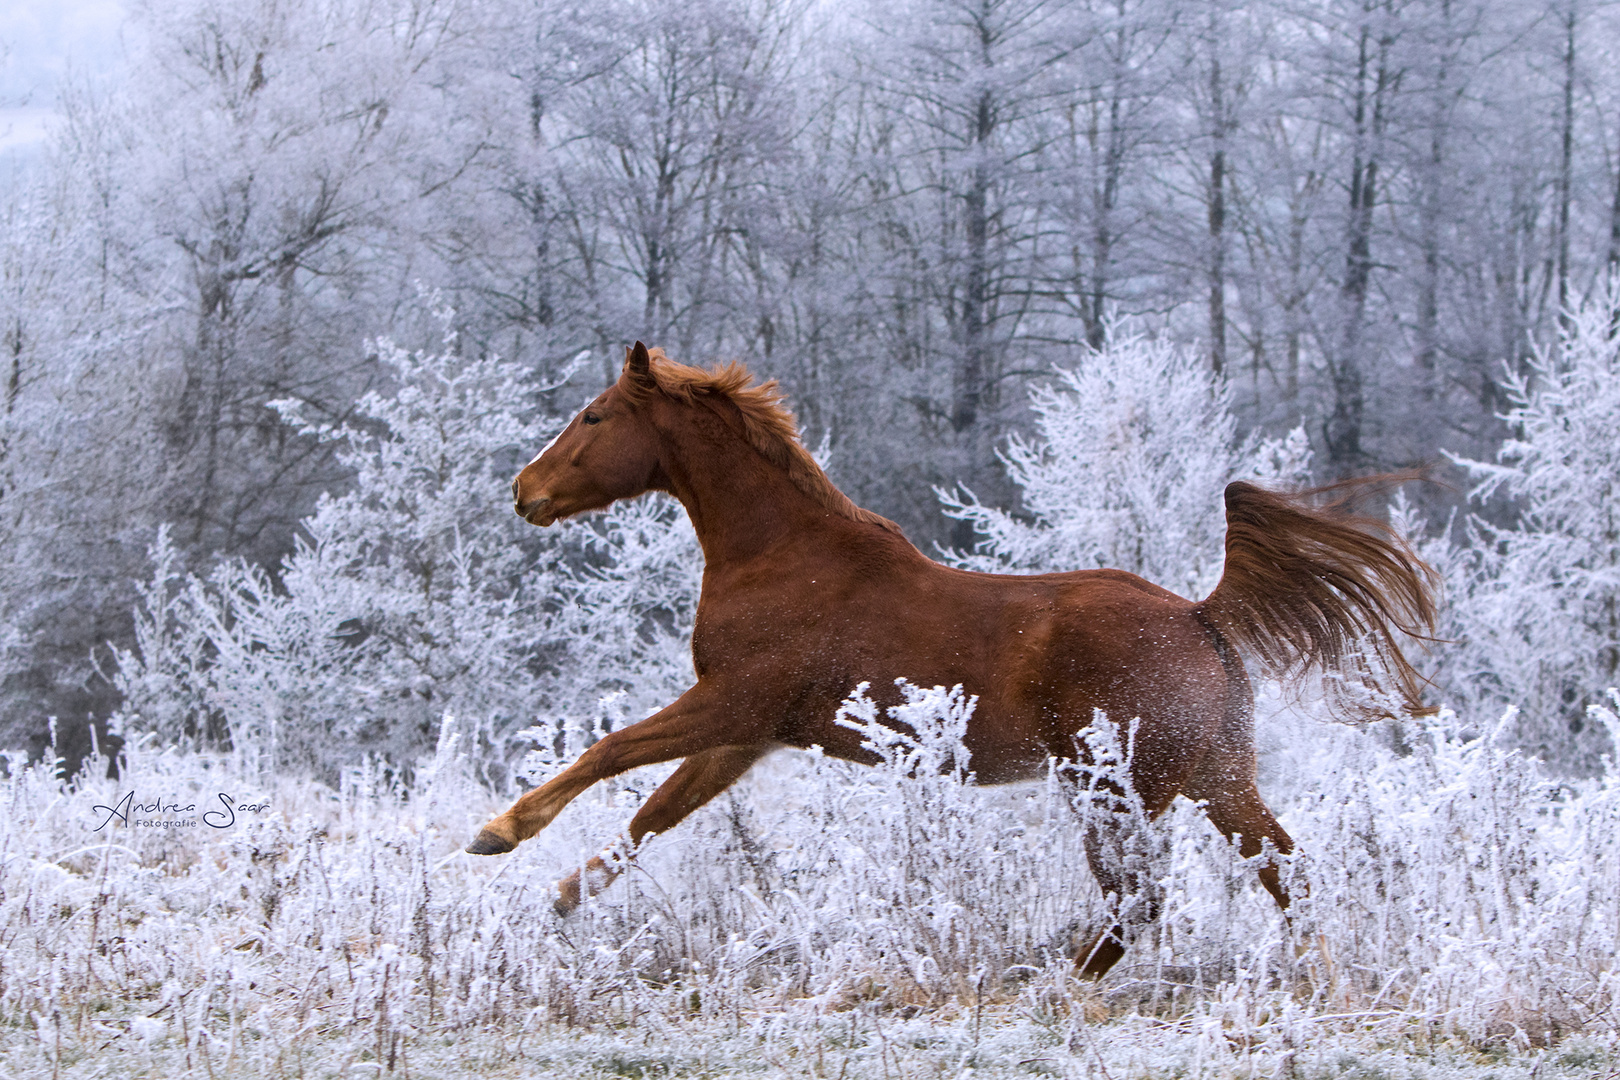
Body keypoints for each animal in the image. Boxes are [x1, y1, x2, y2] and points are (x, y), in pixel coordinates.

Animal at [466, 344, 1432, 977]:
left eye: (594, 416)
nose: (523, 491)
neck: (780, 556)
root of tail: (1202, 617)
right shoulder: (751, 732)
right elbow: (655, 815)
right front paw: (565, 894)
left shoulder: (732, 702)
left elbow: (610, 752)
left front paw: (498, 834)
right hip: (1213, 776)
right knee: (1283, 871)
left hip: (1112, 787)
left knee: (1140, 898)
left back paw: (1055, 985)